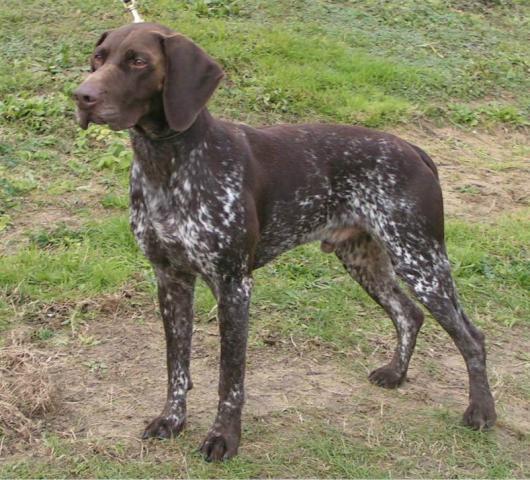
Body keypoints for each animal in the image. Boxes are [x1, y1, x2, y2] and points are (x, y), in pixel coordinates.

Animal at [74, 22, 496, 462]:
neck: (167, 163)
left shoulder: (234, 286)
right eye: (98, 58)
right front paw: (172, 419)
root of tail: (414, 150)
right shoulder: (170, 280)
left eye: (138, 61)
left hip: (421, 262)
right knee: (409, 314)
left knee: (472, 337)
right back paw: (396, 374)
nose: (81, 96)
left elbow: (230, 378)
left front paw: (224, 437)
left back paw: (481, 412)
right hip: (366, 260)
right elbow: (177, 364)